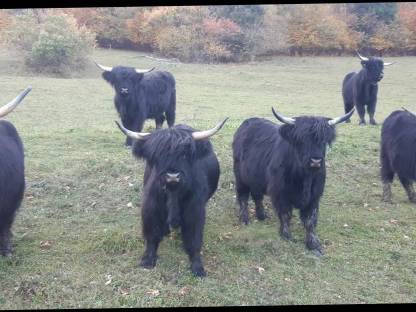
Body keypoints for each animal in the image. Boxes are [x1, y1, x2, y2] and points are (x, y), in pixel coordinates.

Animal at [115, 118, 229, 276]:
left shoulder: (194, 209)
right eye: (158, 155)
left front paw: (197, 266)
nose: (172, 176)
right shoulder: (151, 206)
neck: (173, 193)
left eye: (185, 155)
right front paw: (148, 260)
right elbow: (152, 233)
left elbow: (194, 238)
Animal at [232, 106, 352, 255]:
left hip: (256, 178)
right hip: (240, 177)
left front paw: (313, 244)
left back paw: (261, 215)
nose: (315, 161)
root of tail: (247, 123)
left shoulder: (314, 197)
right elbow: (285, 214)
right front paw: (286, 235)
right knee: (243, 196)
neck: (305, 178)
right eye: (301, 140)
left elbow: (310, 220)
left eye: (323, 140)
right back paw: (244, 219)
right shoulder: (280, 194)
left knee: (257, 195)